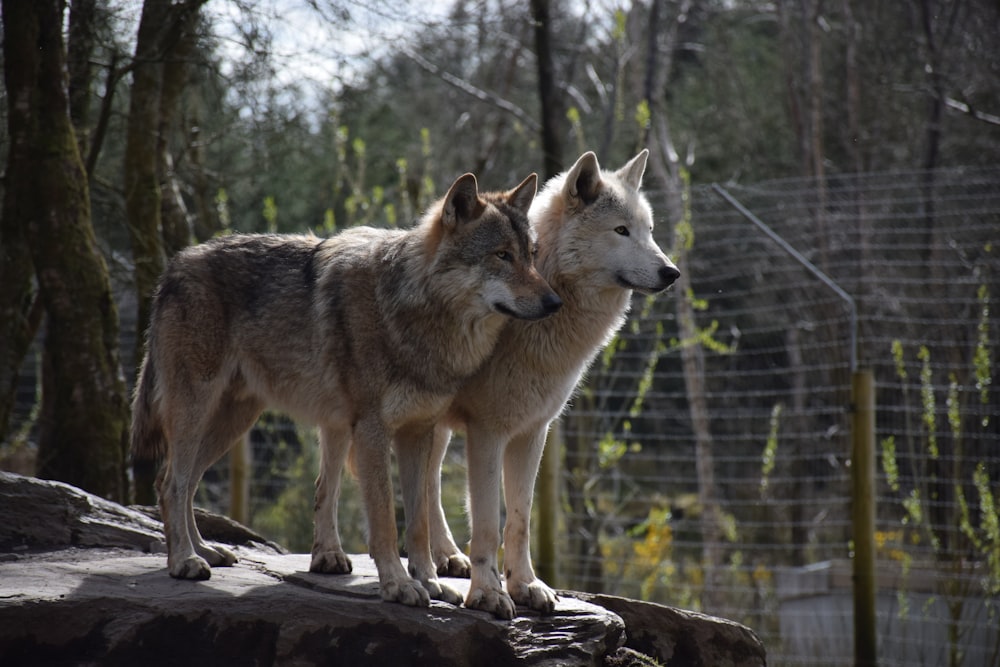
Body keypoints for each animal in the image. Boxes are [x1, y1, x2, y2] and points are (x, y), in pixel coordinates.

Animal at [131, 171, 564, 612]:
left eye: (531, 254)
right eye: (502, 255)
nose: (555, 302)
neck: (415, 314)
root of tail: (175, 265)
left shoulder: (418, 432)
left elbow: (419, 522)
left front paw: (429, 581)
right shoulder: (372, 430)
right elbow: (386, 521)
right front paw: (399, 585)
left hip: (232, 422)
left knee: (182, 482)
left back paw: (205, 550)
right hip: (197, 411)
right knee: (172, 482)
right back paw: (184, 560)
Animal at [422, 149, 680, 620]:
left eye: (649, 231)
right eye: (621, 230)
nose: (671, 272)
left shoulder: (532, 432)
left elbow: (520, 520)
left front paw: (526, 586)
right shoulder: (488, 432)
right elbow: (487, 524)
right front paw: (488, 594)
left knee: (429, 484)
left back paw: (447, 558)